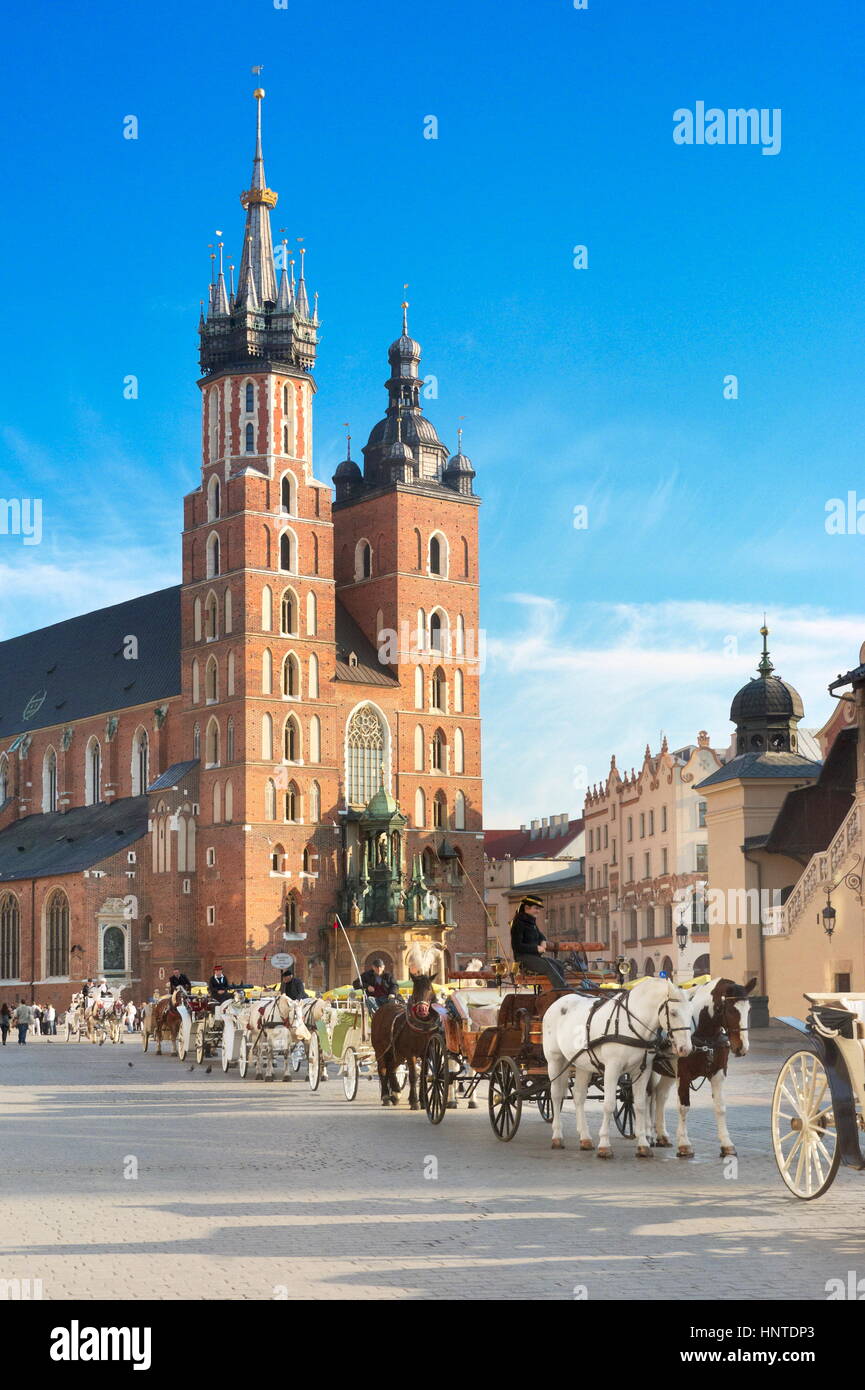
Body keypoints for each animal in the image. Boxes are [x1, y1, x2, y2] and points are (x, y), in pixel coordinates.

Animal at [369, 945, 445, 1106]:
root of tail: (383, 1008)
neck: (422, 1028)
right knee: (383, 1069)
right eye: (415, 990)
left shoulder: (427, 1053)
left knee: (391, 1068)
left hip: (396, 1052)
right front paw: (415, 1100)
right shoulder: (411, 1054)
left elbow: (423, 1075)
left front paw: (422, 1099)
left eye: (430, 989)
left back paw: (395, 1093)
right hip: (381, 1050)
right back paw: (386, 1096)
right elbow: (413, 1075)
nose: (422, 1010)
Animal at [545, 973, 695, 1156]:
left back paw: (585, 1138)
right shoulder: (612, 1069)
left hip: (582, 1064)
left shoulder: (643, 1071)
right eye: (673, 1013)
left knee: (579, 1096)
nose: (685, 1049)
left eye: (691, 1013)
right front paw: (604, 1144)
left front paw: (643, 1144)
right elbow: (609, 1105)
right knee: (556, 1095)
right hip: (555, 1060)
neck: (631, 1024)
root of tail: (560, 1001)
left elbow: (640, 1105)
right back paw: (557, 1136)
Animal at [653, 973, 756, 1156]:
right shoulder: (683, 1075)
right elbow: (683, 1106)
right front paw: (684, 1143)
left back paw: (661, 1135)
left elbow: (720, 1107)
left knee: (660, 1095)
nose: (742, 1047)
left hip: (668, 1073)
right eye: (731, 1010)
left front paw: (726, 1143)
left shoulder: (718, 1073)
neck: (705, 1036)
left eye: (748, 1010)